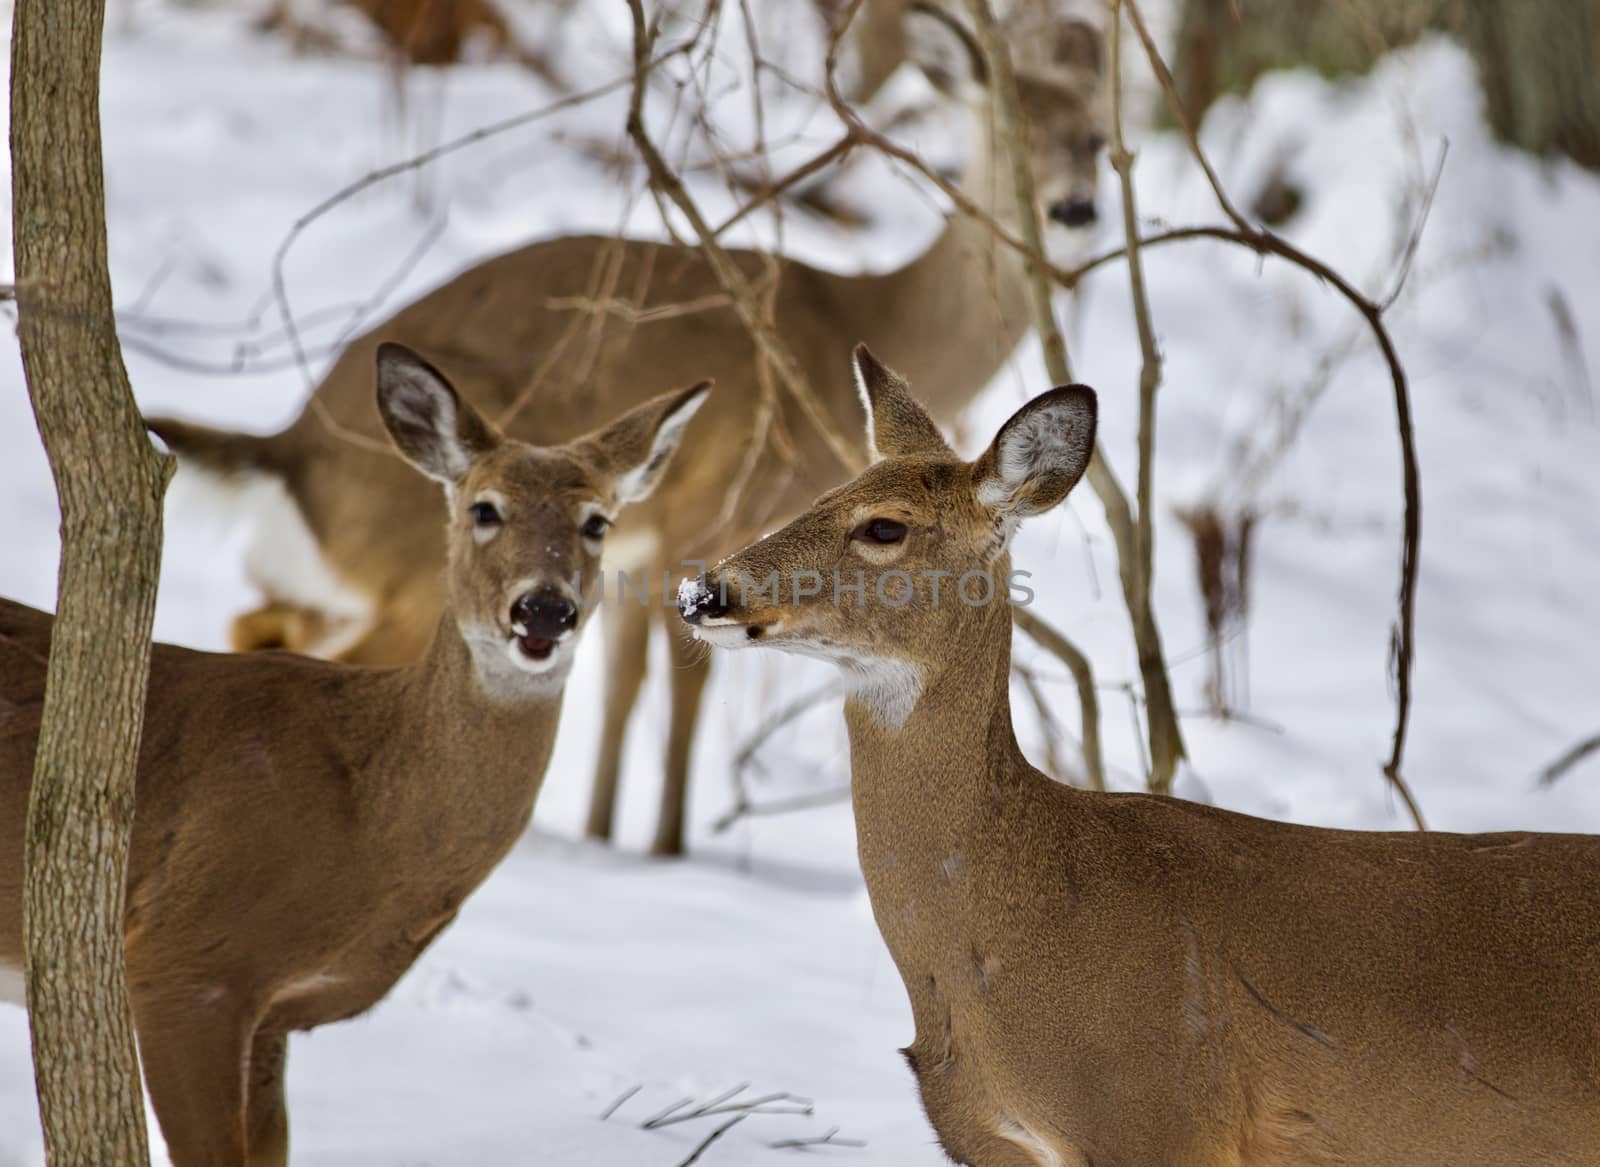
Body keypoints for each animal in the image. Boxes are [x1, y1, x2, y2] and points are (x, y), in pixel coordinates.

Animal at [0, 340, 713, 1158]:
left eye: (597, 520)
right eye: (484, 508)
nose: (543, 609)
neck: (366, 811)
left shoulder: (271, 1014)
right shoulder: (181, 962)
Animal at [144, 0, 1107, 858]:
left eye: (1097, 137)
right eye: (1007, 131)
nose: (1075, 209)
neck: (853, 317)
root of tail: (291, 448)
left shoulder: (635, 552)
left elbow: (617, 692)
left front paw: (603, 834)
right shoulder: (701, 520)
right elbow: (676, 697)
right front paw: (662, 848)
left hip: (333, 580)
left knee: (259, 624)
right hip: (413, 567)